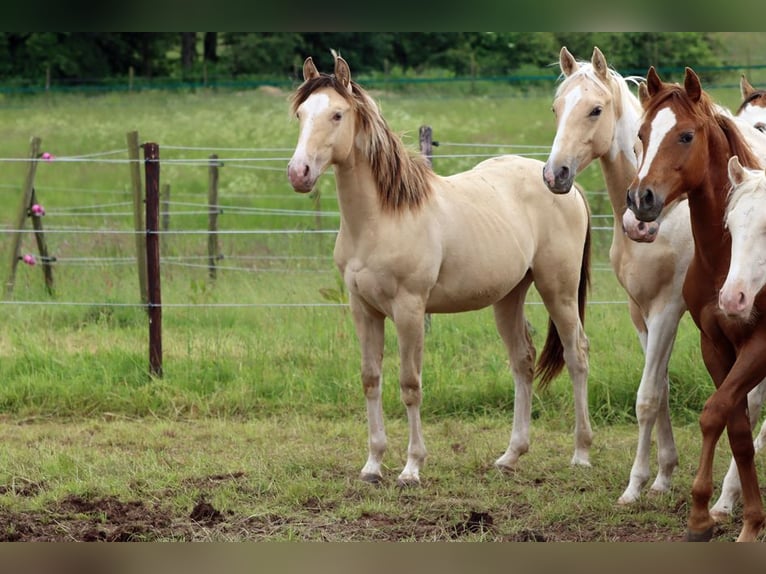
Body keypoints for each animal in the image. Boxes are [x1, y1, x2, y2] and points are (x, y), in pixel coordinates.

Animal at [288, 54, 592, 488]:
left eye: (337, 114)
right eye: (300, 113)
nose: (299, 173)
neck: (382, 218)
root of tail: (562, 183)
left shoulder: (410, 310)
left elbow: (410, 384)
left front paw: (411, 468)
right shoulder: (363, 309)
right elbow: (370, 379)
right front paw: (373, 465)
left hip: (559, 291)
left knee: (576, 354)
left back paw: (581, 453)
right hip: (509, 297)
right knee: (523, 361)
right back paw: (511, 456)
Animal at [632, 66, 766, 544]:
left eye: (686, 136)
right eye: (641, 134)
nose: (641, 199)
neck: (724, 257)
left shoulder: (760, 346)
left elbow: (713, 414)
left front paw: (701, 514)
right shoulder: (715, 342)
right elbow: (736, 425)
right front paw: (743, 518)